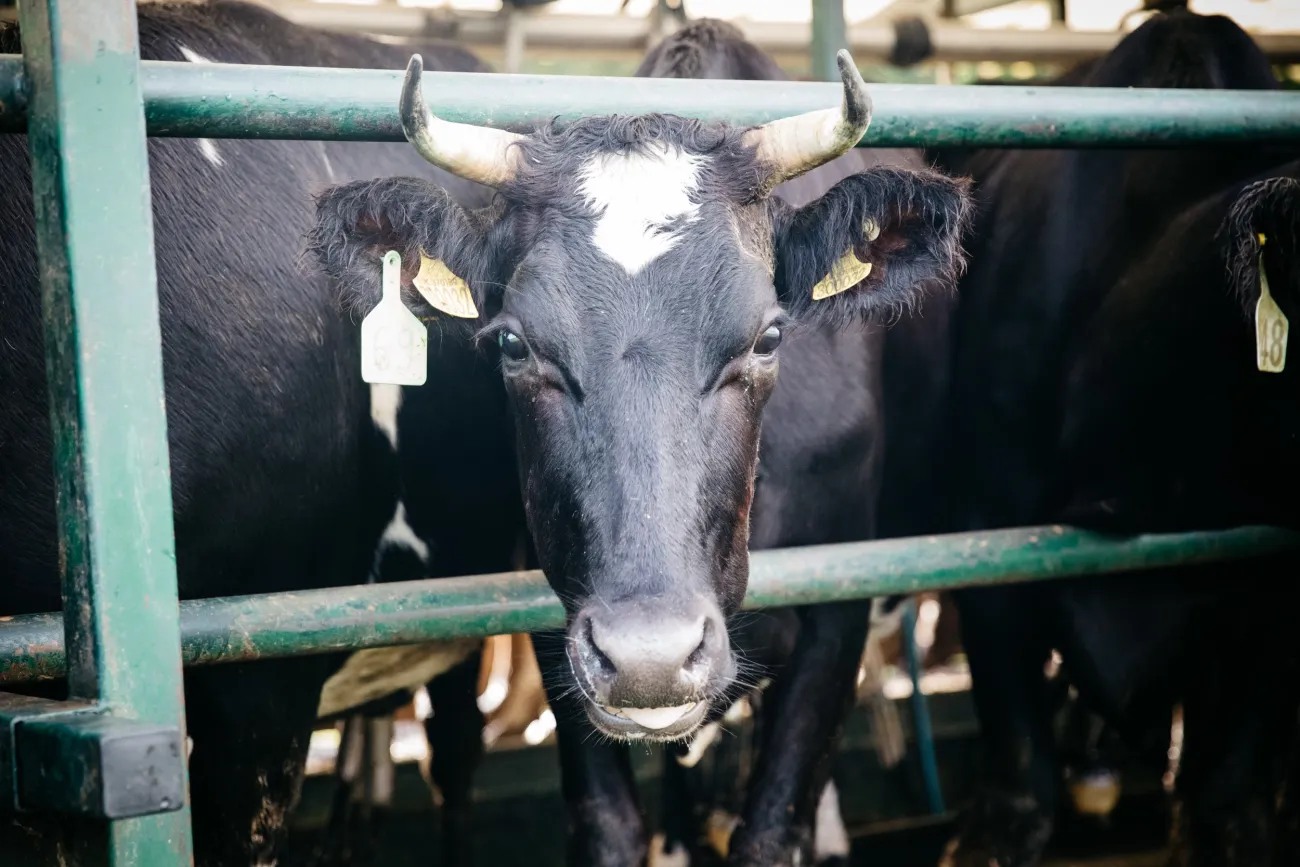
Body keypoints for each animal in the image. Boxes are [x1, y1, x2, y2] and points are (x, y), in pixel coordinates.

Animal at [305, 19, 972, 866]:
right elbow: (609, 823)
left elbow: (773, 823)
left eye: (769, 336)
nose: (651, 655)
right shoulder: (561, 624)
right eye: (514, 344)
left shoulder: (838, 615)